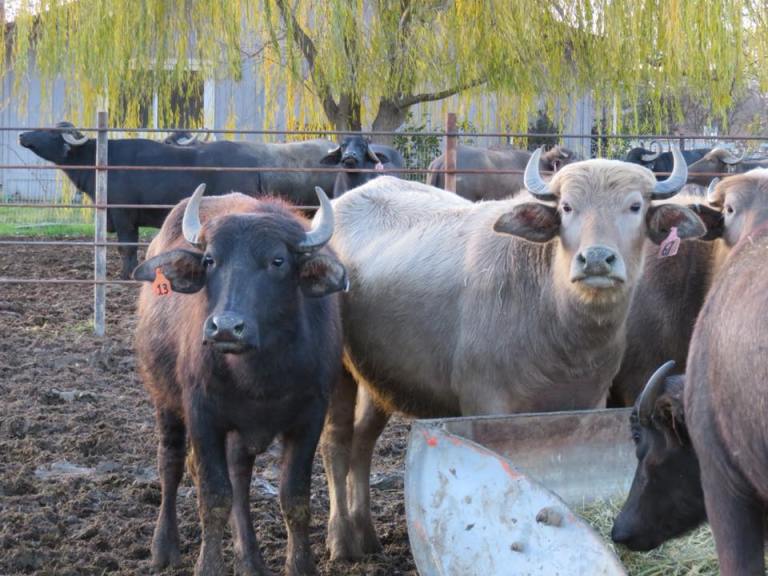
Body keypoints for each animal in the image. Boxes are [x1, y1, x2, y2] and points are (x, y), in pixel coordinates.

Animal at [17, 123, 336, 280]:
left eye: (51, 131)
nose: (22, 135)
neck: (102, 160)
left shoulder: (123, 216)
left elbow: (126, 248)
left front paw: (127, 274)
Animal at [134, 186, 346, 576]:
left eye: (278, 261)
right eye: (210, 260)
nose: (225, 328)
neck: (257, 375)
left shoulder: (311, 416)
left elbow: (294, 497)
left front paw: (300, 565)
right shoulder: (202, 414)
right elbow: (214, 495)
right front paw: (208, 566)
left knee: (239, 477)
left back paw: (250, 560)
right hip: (164, 398)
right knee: (171, 463)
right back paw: (164, 548)